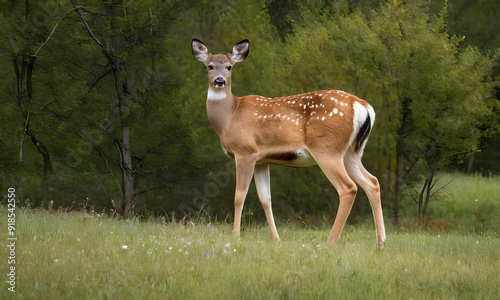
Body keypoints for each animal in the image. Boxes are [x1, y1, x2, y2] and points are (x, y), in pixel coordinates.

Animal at [191, 37, 386, 248]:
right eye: (210, 66)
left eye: (229, 67)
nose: (219, 81)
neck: (229, 117)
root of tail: (362, 106)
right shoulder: (262, 160)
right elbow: (265, 199)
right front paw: (276, 238)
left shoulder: (245, 152)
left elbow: (239, 196)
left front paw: (235, 237)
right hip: (352, 151)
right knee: (372, 182)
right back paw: (381, 243)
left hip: (327, 148)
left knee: (348, 188)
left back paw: (330, 242)